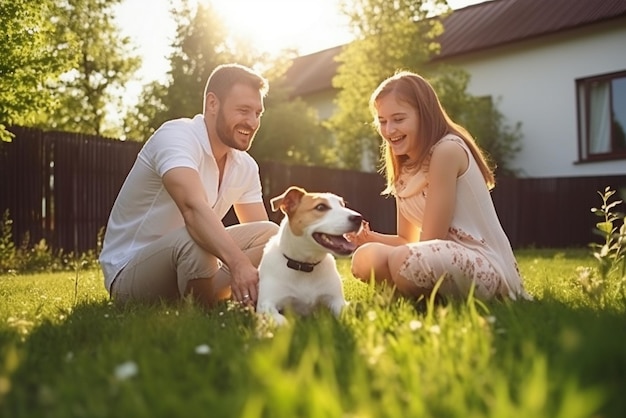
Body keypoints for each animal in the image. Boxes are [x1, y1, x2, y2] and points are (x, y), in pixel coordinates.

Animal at [254, 186, 360, 326]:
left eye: (342, 205)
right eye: (320, 207)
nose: (359, 218)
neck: (305, 265)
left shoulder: (337, 300)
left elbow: (346, 314)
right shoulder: (266, 304)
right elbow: (282, 321)